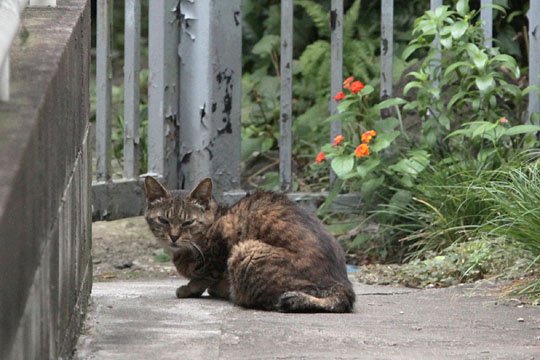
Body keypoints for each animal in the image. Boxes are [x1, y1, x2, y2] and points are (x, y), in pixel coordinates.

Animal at [144, 175, 354, 312]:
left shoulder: (222, 246)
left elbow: (204, 276)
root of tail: (342, 285)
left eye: (188, 223)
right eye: (163, 221)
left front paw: (189, 288)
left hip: (246, 252)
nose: (173, 236)